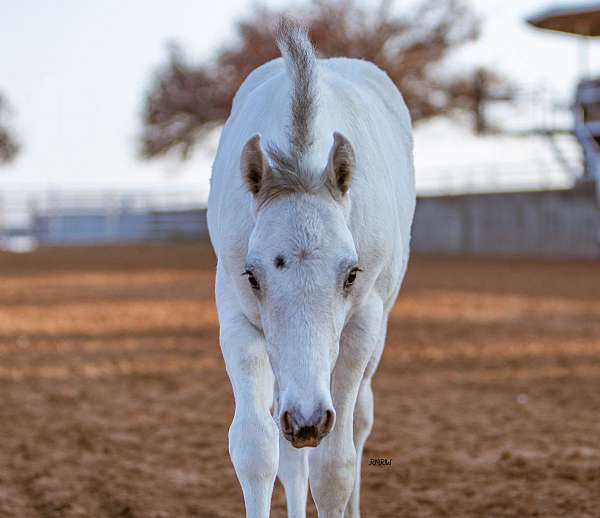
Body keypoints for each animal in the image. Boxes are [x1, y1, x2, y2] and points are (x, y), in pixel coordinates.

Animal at [209, 18, 414, 516]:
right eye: (252, 275)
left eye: (352, 274)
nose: (307, 420)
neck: (299, 160)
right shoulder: (236, 316)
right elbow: (255, 449)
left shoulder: (363, 324)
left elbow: (335, 466)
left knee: (358, 423)